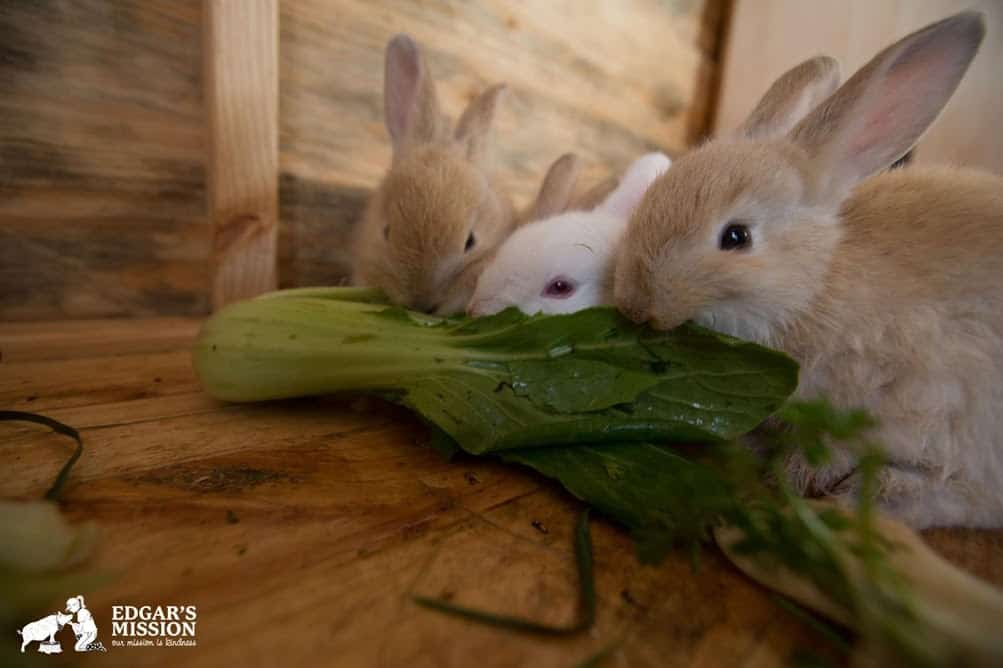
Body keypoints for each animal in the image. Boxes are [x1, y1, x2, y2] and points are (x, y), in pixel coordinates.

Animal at [609, 11, 1003, 525]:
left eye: (736, 237)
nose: (634, 304)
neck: (815, 286)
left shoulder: (911, 397)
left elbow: (852, 443)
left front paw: (797, 474)